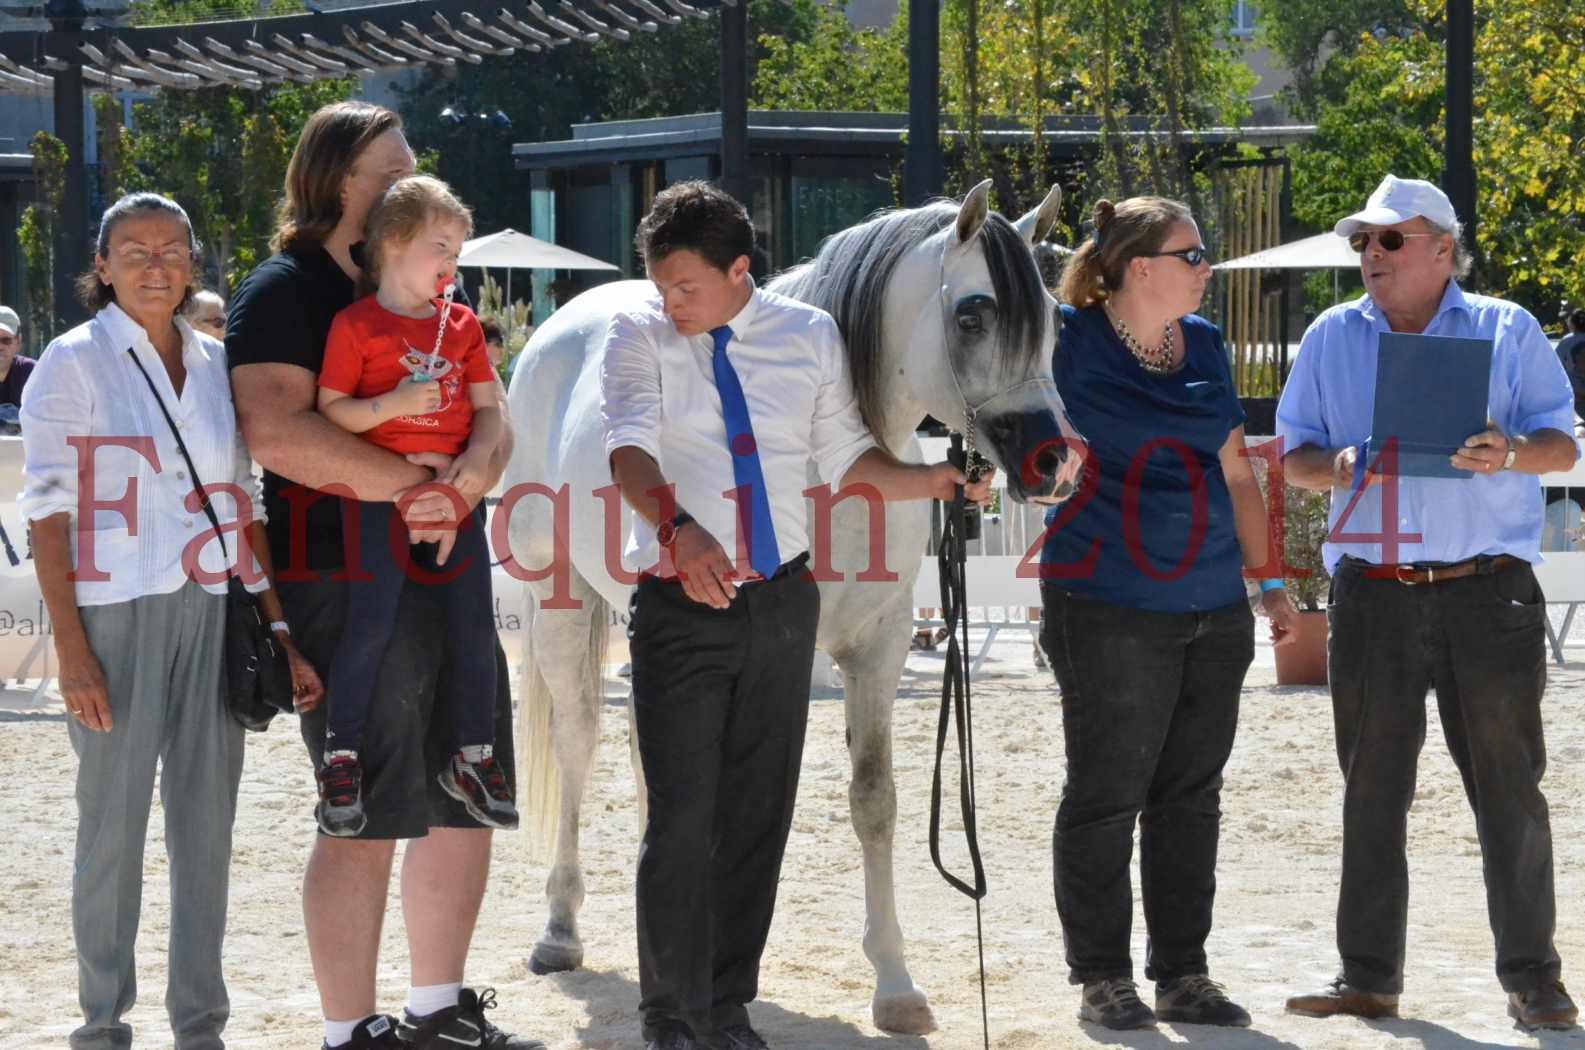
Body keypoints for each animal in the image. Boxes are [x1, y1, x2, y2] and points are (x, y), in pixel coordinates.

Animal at [507, 180, 1090, 1034]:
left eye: (1052, 317)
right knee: (578, 742)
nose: (1053, 462)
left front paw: (896, 986)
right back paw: (558, 929)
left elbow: (873, 798)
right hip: (563, 604)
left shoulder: (877, 648)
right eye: (972, 314)